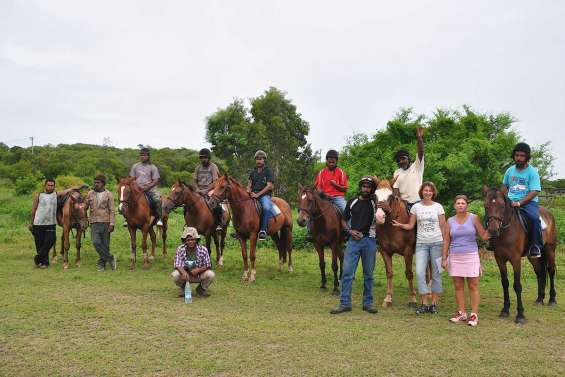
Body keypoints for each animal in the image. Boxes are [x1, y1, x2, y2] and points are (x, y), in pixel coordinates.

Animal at [372, 178, 416, 306]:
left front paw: (413, 298)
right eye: (375, 195)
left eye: (390, 196)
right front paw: (388, 298)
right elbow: (389, 273)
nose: (379, 217)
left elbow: (409, 273)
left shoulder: (408, 251)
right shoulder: (384, 251)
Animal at [482, 186, 556, 324]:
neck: (506, 231)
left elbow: (517, 285)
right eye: (486, 205)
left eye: (502, 206)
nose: (493, 231)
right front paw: (505, 310)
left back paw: (552, 299)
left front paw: (520, 315)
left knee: (551, 270)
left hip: (550, 250)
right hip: (532, 256)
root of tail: (548, 213)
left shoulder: (515, 259)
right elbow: (505, 283)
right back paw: (539, 299)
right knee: (540, 272)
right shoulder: (499, 259)